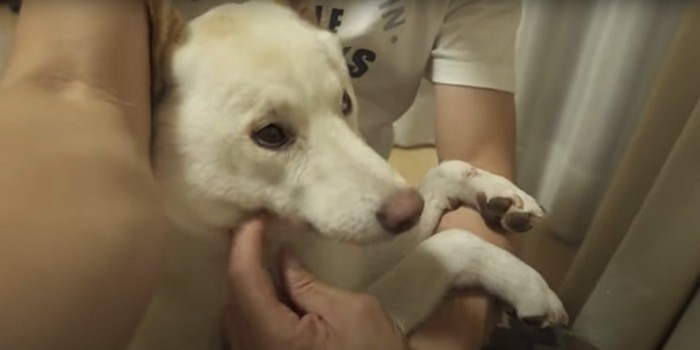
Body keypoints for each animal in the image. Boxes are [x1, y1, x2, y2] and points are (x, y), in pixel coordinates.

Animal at [130, 1, 568, 348]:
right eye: (270, 134)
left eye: (344, 102)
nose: (407, 211)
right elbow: (446, 248)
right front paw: (530, 287)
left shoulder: (346, 268)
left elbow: (446, 176)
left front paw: (498, 198)